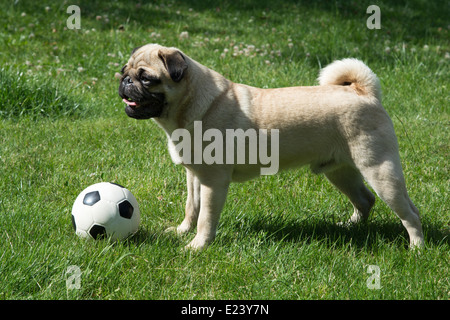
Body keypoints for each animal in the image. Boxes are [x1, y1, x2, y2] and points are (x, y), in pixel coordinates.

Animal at [118, 43, 424, 251]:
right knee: (365, 200)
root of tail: (362, 91)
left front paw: (198, 246)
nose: (125, 81)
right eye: (124, 72)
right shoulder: (194, 176)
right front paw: (182, 231)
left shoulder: (213, 182)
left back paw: (416, 248)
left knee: (409, 213)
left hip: (380, 171)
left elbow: (206, 217)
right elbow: (191, 208)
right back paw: (350, 226)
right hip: (340, 172)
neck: (190, 107)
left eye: (146, 78)